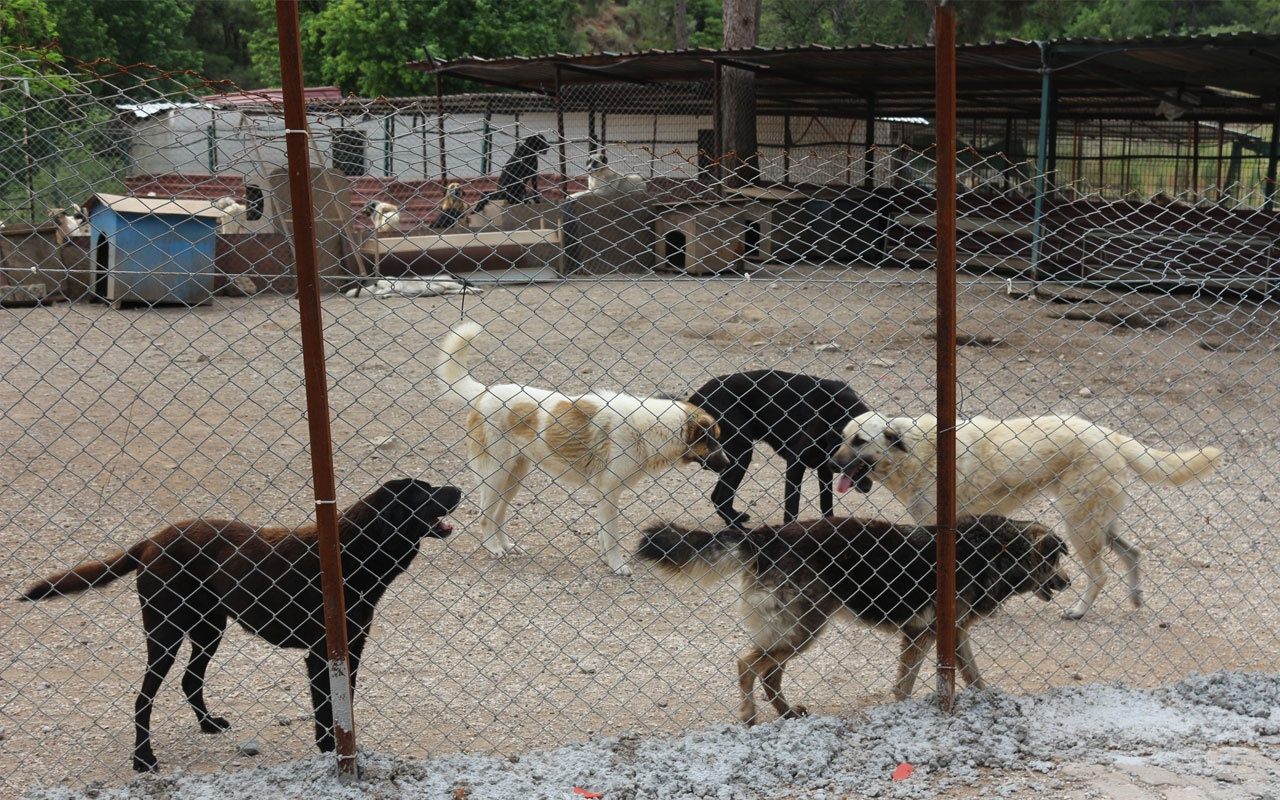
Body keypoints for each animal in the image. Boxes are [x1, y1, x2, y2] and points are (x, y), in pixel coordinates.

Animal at [22, 476, 463, 773]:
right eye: (424, 491)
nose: (458, 488)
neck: (350, 552)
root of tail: (153, 540)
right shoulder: (321, 654)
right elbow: (326, 708)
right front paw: (329, 750)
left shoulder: (350, 651)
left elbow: (343, 705)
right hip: (165, 634)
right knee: (143, 698)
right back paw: (143, 758)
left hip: (208, 629)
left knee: (190, 680)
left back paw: (207, 724)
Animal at [432, 320, 727, 573]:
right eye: (711, 440)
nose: (729, 464)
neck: (650, 428)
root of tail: (485, 393)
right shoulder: (608, 494)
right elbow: (612, 536)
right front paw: (617, 565)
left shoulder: (606, 496)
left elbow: (604, 535)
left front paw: (607, 560)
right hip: (495, 474)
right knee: (484, 514)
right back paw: (493, 548)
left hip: (514, 477)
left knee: (497, 514)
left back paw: (506, 546)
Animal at [691, 371, 880, 527]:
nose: (867, 488)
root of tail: (697, 397)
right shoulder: (796, 461)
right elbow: (792, 507)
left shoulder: (824, 467)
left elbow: (826, 504)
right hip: (741, 451)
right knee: (721, 499)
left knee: (716, 497)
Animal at [824, 414, 1223, 622]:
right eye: (842, 437)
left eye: (859, 441)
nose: (829, 462)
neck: (917, 452)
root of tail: (1109, 434)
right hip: (1099, 525)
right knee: (1133, 553)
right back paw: (1136, 597)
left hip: (1079, 524)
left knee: (1100, 574)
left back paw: (1078, 611)